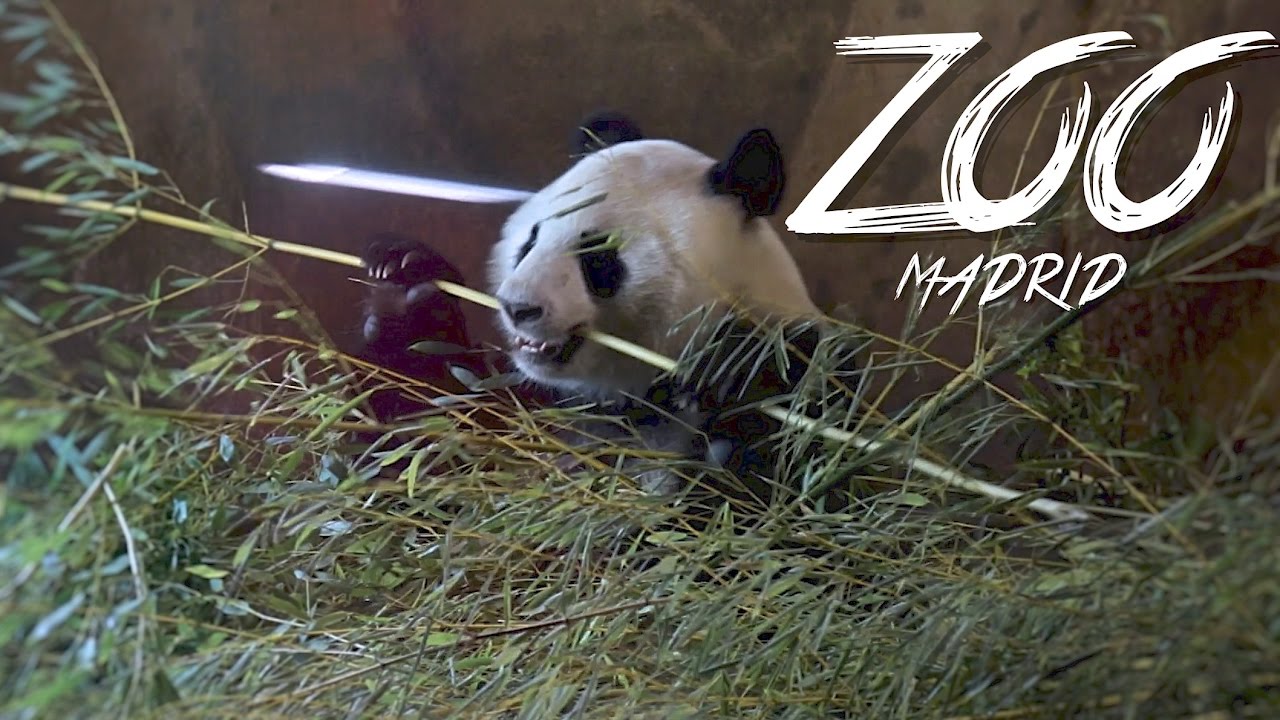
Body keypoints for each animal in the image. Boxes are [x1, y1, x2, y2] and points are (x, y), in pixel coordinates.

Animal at [360, 112, 863, 505]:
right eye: (531, 239)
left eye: (598, 257)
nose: (517, 307)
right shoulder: (541, 402)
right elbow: (426, 445)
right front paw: (406, 285)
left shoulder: (816, 371)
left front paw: (738, 380)